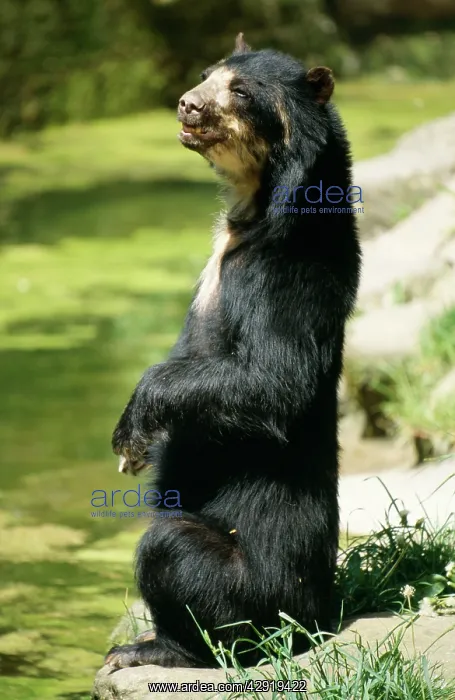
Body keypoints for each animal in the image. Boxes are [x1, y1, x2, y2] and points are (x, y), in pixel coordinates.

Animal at [105, 32, 361, 670]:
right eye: (206, 74)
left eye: (241, 92)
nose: (186, 104)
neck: (253, 213)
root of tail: (318, 616)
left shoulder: (287, 274)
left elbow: (272, 378)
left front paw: (129, 439)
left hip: (256, 589)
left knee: (173, 551)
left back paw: (152, 647)